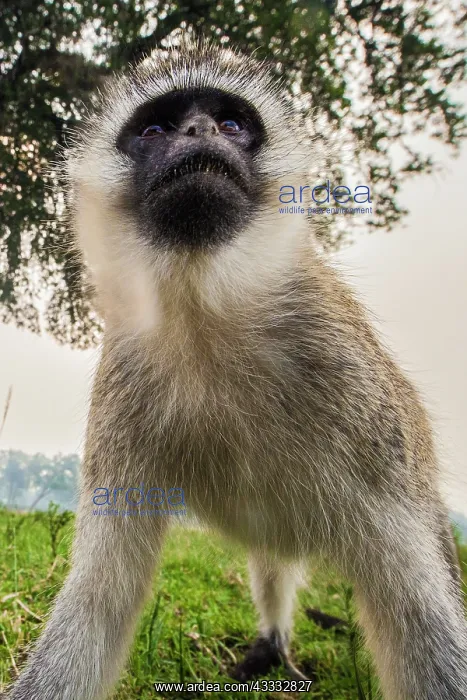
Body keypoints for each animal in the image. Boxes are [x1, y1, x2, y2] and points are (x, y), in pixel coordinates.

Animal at [5, 37, 467, 700]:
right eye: (155, 128)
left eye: (230, 124)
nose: (197, 131)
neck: (206, 309)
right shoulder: (125, 373)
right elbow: (98, 603)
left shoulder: (351, 382)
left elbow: (419, 610)